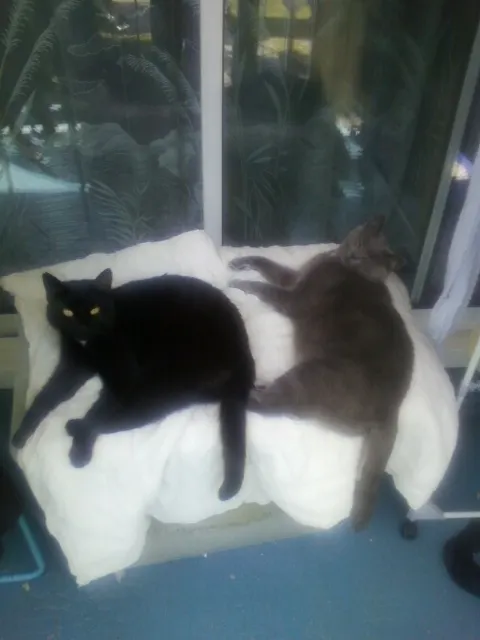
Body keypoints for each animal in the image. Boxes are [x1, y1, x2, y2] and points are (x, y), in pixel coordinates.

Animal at [12, 270, 255, 501]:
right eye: (67, 312)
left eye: (95, 310)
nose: (82, 326)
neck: (89, 343)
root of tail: (246, 358)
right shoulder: (73, 367)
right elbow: (46, 397)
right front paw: (20, 435)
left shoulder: (123, 377)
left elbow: (99, 408)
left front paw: (80, 453)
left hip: (159, 380)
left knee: (132, 416)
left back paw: (76, 428)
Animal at [229, 216, 414, 530]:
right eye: (361, 243)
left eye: (370, 258)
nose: (354, 256)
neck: (336, 261)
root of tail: (393, 410)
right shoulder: (294, 277)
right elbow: (267, 264)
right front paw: (240, 262)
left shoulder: (294, 299)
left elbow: (266, 288)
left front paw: (238, 282)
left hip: (309, 377)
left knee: (271, 406)